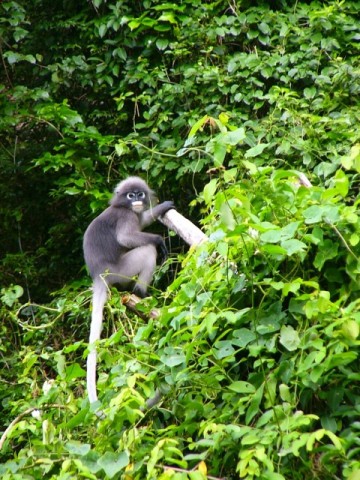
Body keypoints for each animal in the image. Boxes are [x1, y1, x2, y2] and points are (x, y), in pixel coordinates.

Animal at [84, 176, 174, 408]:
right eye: (130, 195)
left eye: (139, 194)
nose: (136, 201)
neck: (122, 206)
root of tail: (98, 275)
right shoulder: (126, 216)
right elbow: (126, 237)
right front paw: (158, 240)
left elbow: (142, 221)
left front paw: (163, 206)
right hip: (121, 271)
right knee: (147, 251)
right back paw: (141, 293)